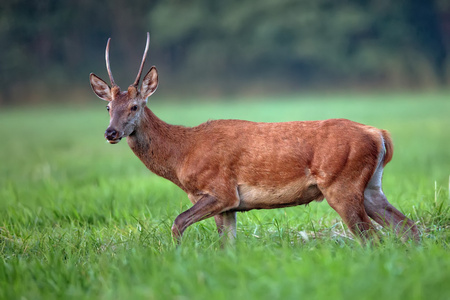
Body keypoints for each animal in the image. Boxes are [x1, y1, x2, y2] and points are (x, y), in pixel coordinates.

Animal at [89, 32, 420, 244]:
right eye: (107, 107)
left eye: (134, 106)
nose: (111, 132)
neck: (182, 154)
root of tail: (379, 134)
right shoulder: (228, 206)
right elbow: (227, 246)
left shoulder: (221, 191)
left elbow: (177, 223)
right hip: (371, 185)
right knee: (407, 228)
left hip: (341, 183)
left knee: (372, 237)